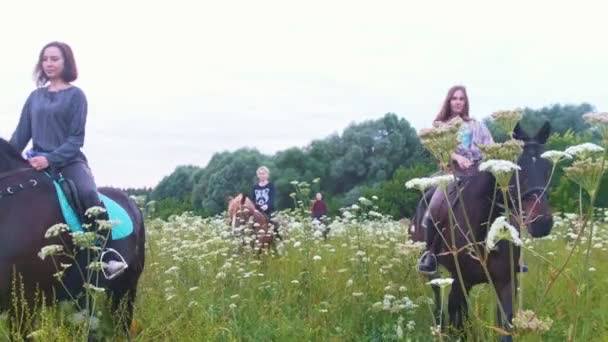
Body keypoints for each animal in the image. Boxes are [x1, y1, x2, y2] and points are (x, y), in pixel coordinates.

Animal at [410, 121, 552, 340]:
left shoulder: (506, 283)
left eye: (548, 167)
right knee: (439, 298)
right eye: (516, 169)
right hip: (436, 273)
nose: (543, 223)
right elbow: (458, 322)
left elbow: (505, 328)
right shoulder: (459, 280)